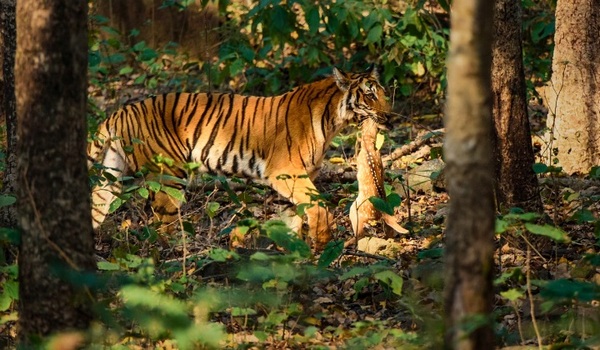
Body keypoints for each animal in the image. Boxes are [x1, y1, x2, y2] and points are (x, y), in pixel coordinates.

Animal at [88, 67, 390, 250]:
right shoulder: (286, 173)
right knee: (165, 225)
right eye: (369, 95)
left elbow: (292, 216)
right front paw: (322, 246)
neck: (332, 118)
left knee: (96, 203)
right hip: (169, 176)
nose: (389, 116)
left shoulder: (299, 177)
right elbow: (319, 208)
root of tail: (117, 113)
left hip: (111, 173)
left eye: (384, 94)